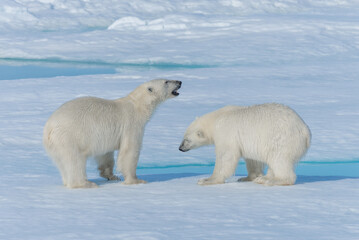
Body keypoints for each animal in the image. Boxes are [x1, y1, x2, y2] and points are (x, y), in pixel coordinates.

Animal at [43, 79, 181, 188]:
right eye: (166, 81)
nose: (179, 82)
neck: (138, 105)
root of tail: (49, 128)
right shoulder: (132, 124)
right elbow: (129, 151)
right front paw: (136, 180)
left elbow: (105, 154)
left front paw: (111, 176)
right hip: (69, 136)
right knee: (75, 160)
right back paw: (86, 184)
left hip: (55, 146)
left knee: (62, 163)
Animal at [180, 103, 312, 186]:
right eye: (183, 136)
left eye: (187, 140)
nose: (180, 148)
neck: (216, 119)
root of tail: (305, 130)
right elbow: (253, 160)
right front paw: (246, 177)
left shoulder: (226, 132)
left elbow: (226, 156)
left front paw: (207, 180)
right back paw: (264, 178)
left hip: (283, 139)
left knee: (279, 159)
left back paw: (272, 181)